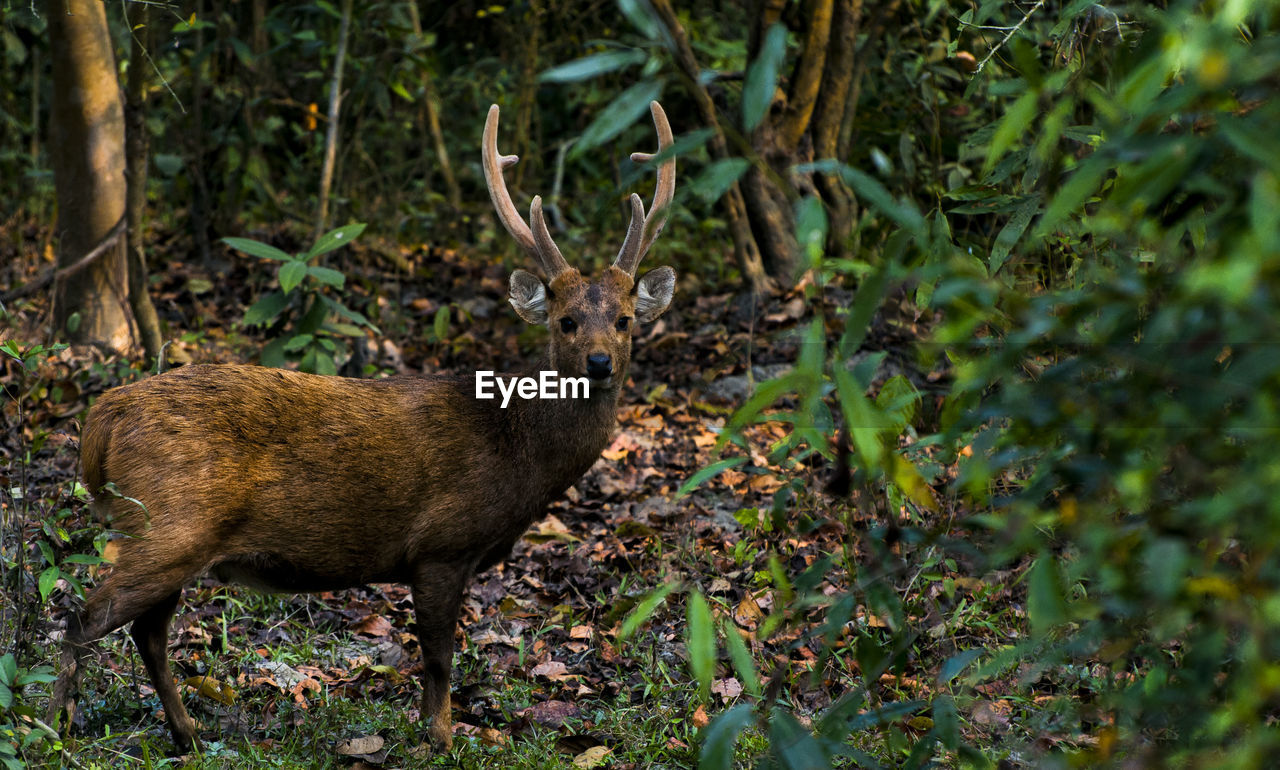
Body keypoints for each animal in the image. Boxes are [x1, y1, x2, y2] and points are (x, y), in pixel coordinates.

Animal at [45, 99, 675, 752]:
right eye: (567, 320)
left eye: (625, 320)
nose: (599, 362)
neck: (516, 445)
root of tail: (102, 419)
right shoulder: (441, 544)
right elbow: (439, 657)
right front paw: (440, 737)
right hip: (168, 521)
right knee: (83, 618)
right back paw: (55, 727)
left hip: (168, 531)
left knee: (144, 631)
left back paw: (187, 732)